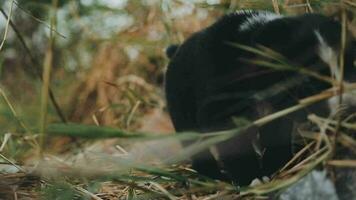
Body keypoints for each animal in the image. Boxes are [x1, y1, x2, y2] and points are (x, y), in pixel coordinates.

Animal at [165, 10, 356, 185]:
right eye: (309, 80)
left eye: (351, 67)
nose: (349, 107)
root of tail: (175, 51)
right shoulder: (221, 109)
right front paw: (252, 177)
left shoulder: (278, 109)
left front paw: (275, 165)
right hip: (183, 114)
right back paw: (214, 175)